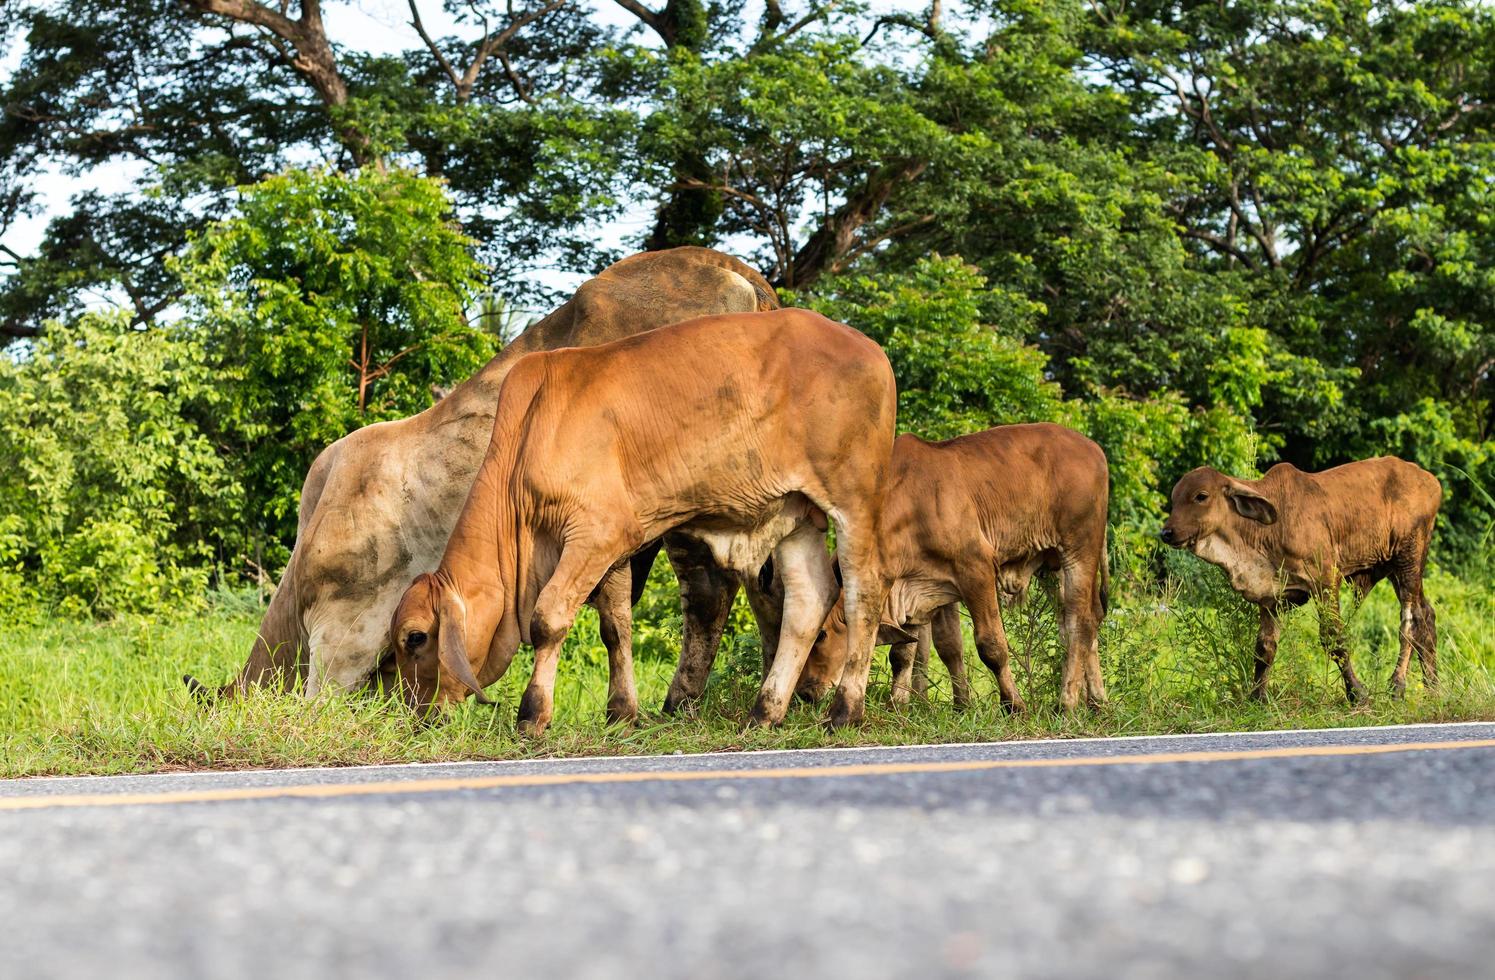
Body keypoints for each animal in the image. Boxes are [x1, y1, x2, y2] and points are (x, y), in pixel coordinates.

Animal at [391, 310, 891, 732]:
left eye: (415, 638)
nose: (414, 714)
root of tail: (870, 348)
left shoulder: (596, 533)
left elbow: (547, 620)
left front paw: (533, 714)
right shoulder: (612, 548)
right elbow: (615, 628)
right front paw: (622, 712)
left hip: (854, 502)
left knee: (863, 594)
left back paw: (845, 711)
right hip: (796, 512)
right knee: (809, 601)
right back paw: (765, 712)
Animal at [795, 421, 1112, 711]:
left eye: (821, 635)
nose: (804, 693)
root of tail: (1093, 448)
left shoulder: (976, 569)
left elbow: (991, 646)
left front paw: (1014, 704)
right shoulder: (922, 588)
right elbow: (906, 653)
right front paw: (899, 705)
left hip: (1079, 550)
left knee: (1081, 622)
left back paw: (1068, 703)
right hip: (1053, 565)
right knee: (1077, 621)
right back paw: (1096, 701)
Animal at [1154, 454, 1435, 699]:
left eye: (1201, 496)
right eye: (1175, 499)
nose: (1167, 532)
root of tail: (1427, 478)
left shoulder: (1325, 580)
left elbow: (1334, 638)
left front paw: (1357, 693)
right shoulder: (1270, 598)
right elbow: (1264, 648)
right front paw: (1257, 698)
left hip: (1408, 559)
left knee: (1410, 622)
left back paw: (1398, 686)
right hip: (1396, 567)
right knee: (1427, 614)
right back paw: (1434, 687)